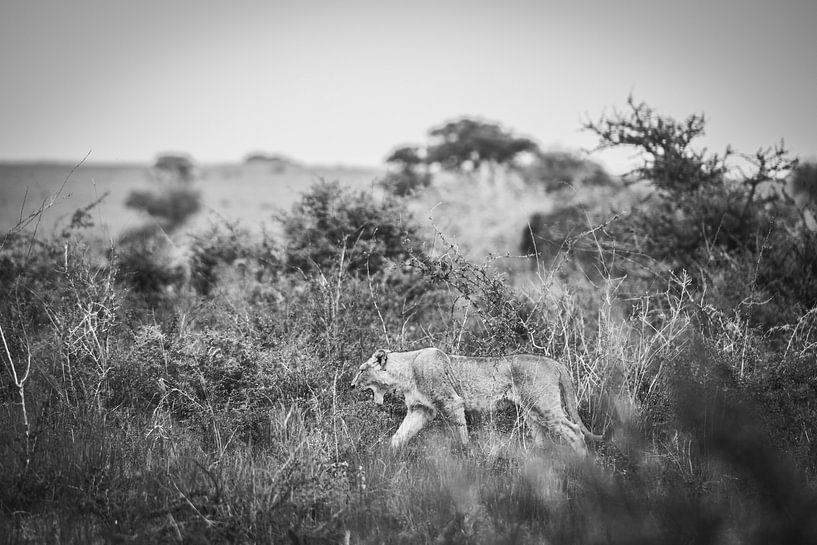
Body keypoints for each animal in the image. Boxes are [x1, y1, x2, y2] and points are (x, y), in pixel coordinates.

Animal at [351, 347, 601, 455]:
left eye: (362, 370)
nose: (352, 385)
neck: (406, 372)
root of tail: (554, 362)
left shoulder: (452, 402)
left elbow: (461, 435)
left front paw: (466, 456)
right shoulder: (420, 410)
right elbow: (400, 435)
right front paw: (386, 457)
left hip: (543, 405)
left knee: (574, 431)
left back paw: (583, 467)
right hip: (531, 412)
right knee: (544, 439)